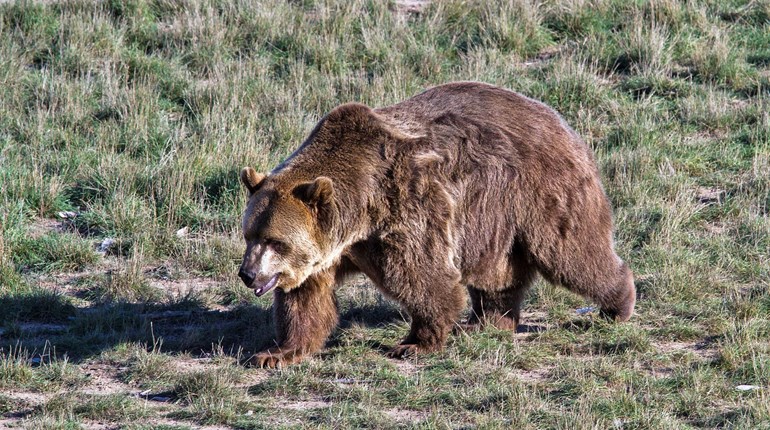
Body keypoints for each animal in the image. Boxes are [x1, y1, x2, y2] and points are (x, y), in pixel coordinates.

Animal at [238, 81, 635, 368]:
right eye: (250, 236)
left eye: (276, 241)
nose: (248, 274)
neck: (359, 214)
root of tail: (558, 119)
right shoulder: (326, 253)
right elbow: (305, 301)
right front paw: (276, 353)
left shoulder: (405, 209)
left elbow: (424, 278)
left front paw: (415, 343)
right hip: (493, 219)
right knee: (498, 274)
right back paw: (487, 320)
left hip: (540, 192)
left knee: (571, 253)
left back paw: (617, 304)